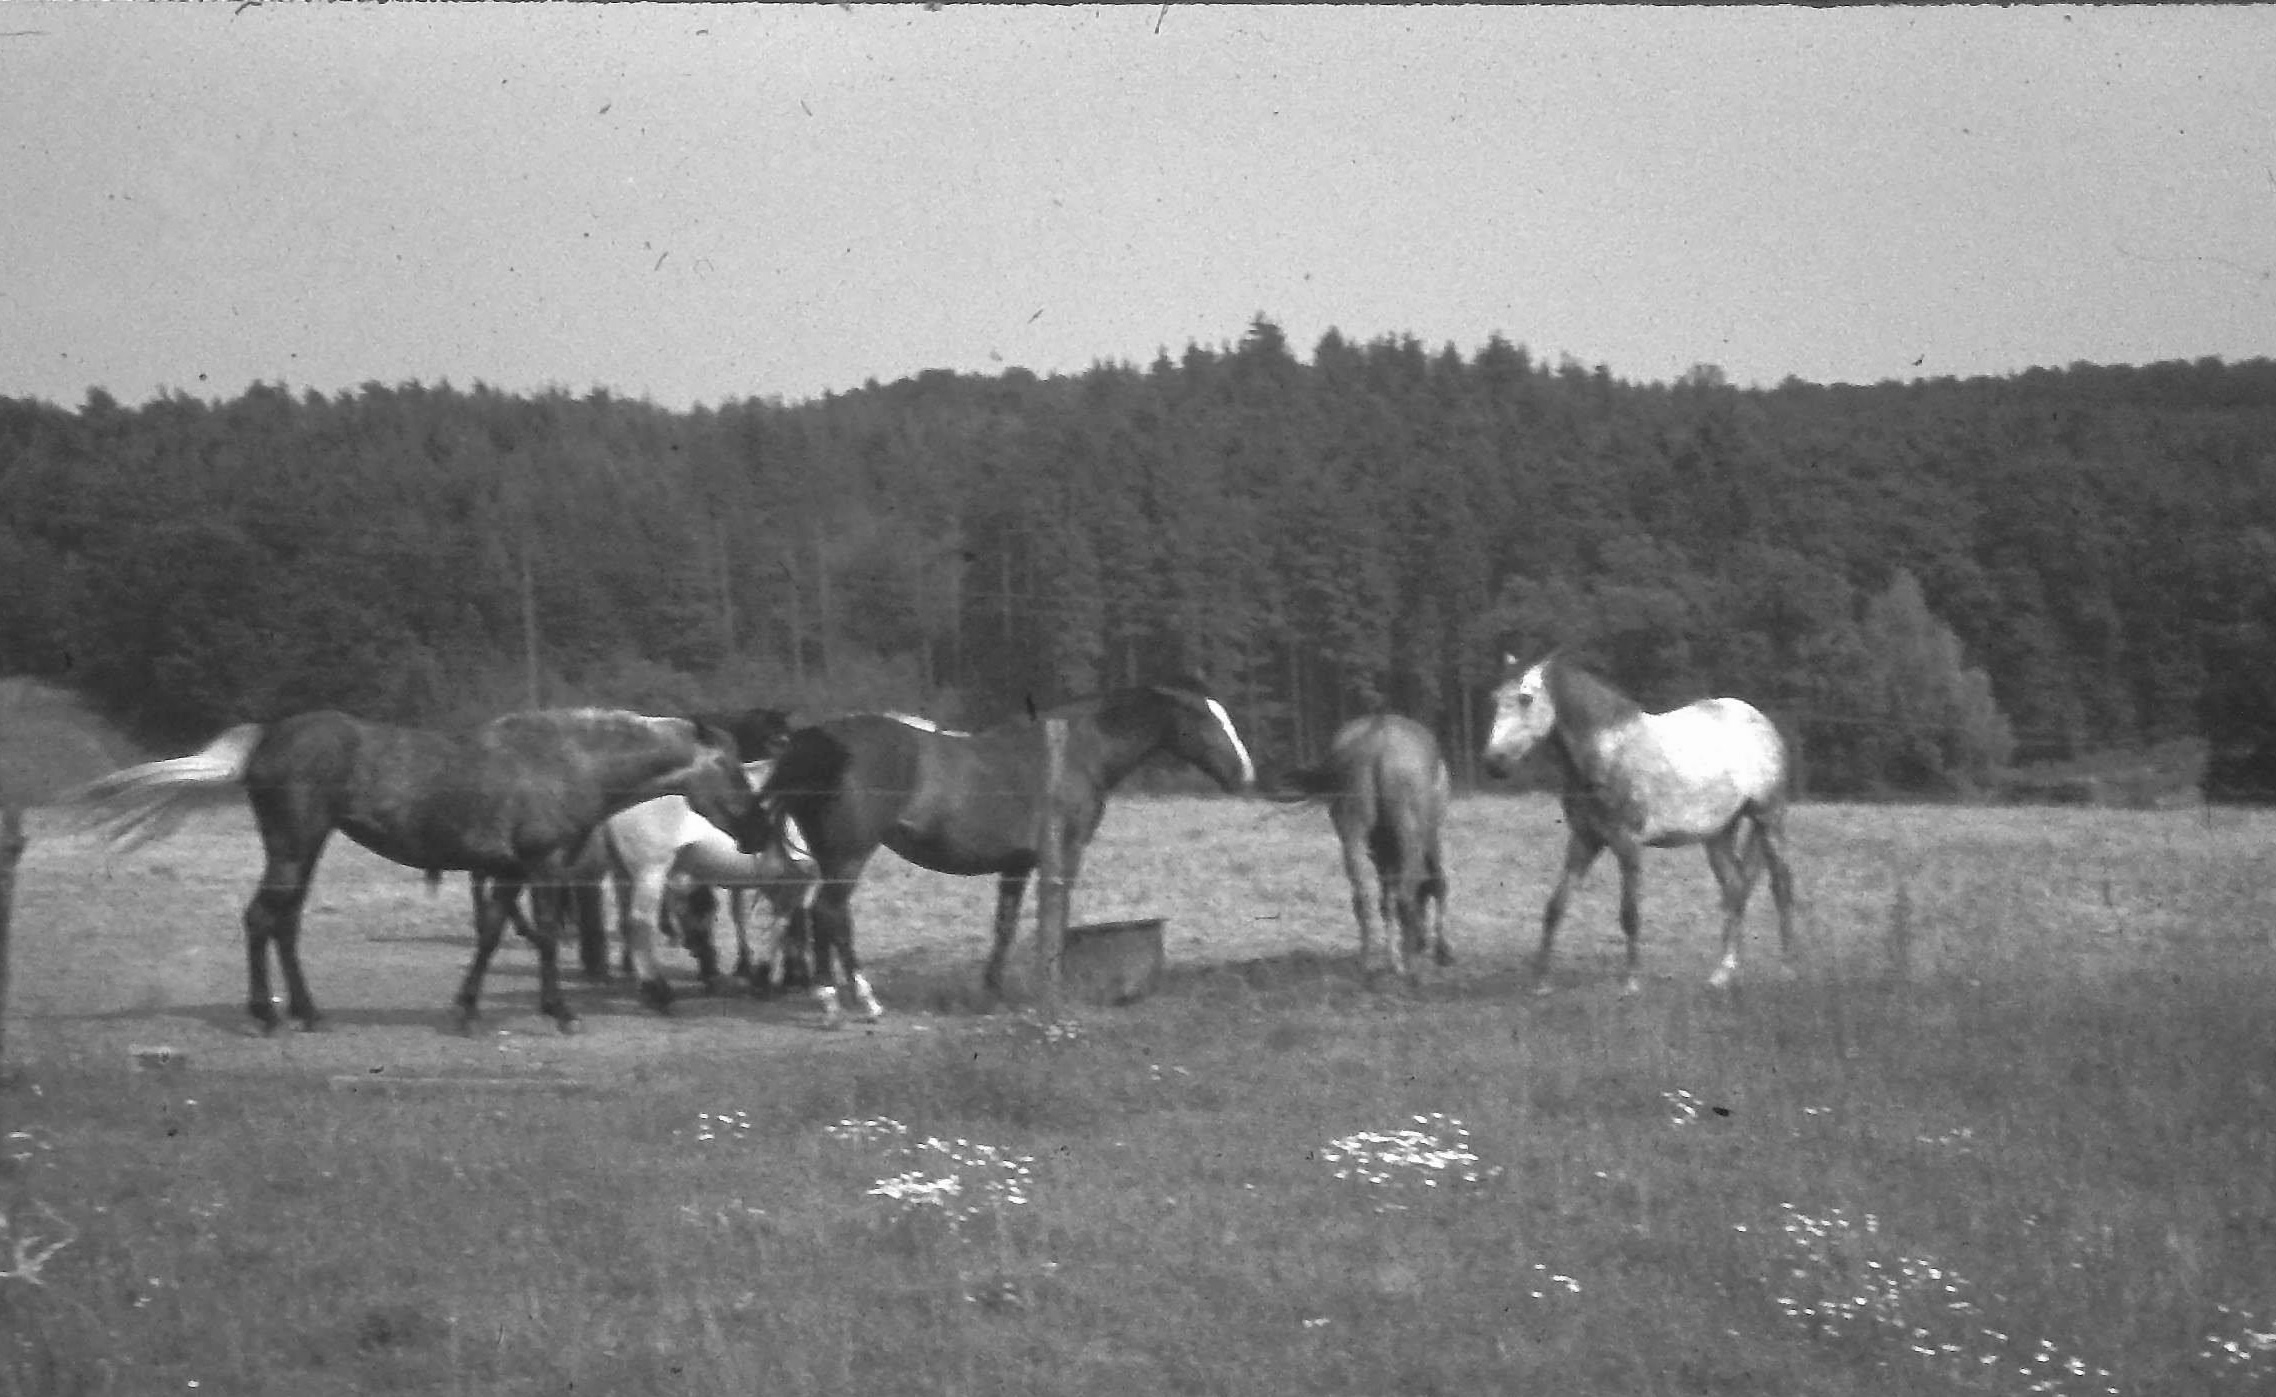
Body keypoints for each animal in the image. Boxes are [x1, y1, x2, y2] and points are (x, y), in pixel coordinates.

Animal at [60, 709, 746, 1042]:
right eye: (729, 766)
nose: (755, 826)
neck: (564, 761)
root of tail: (269, 739)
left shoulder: (508, 871)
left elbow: (491, 936)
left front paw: (467, 1011)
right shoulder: (543, 866)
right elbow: (548, 937)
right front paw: (560, 1012)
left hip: (304, 848)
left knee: (284, 923)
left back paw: (307, 1011)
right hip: (294, 845)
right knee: (263, 919)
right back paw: (269, 1015)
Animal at [737, 687, 1256, 1028]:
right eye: (1208, 722)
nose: (1245, 773)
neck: (1076, 752)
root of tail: (820, 739)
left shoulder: (1016, 864)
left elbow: (1004, 926)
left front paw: (993, 990)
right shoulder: (1062, 856)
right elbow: (1055, 917)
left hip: (828, 857)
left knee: (815, 917)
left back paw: (831, 997)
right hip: (848, 856)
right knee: (830, 914)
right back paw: (855, 1001)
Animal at [1274, 718, 1447, 978]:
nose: (1422, 942)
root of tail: (1377, 741)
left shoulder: (1382, 853)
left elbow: (1385, 902)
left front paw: (1392, 958)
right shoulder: (1429, 839)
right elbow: (1437, 884)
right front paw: (1442, 951)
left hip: (1352, 831)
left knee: (1362, 898)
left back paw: (1368, 964)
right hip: (1408, 832)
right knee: (1404, 896)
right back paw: (1411, 969)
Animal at [1483, 655, 1802, 996]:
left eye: (1525, 698)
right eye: (1495, 698)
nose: (1494, 762)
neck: (1608, 754)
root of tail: (1761, 722)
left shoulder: (1628, 844)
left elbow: (1630, 914)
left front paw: (1631, 983)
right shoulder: (1584, 840)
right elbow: (1555, 907)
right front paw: (1541, 982)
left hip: (1769, 820)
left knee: (1781, 888)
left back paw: (1787, 971)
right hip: (1718, 835)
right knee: (1736, 890)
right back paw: (1723, 974)